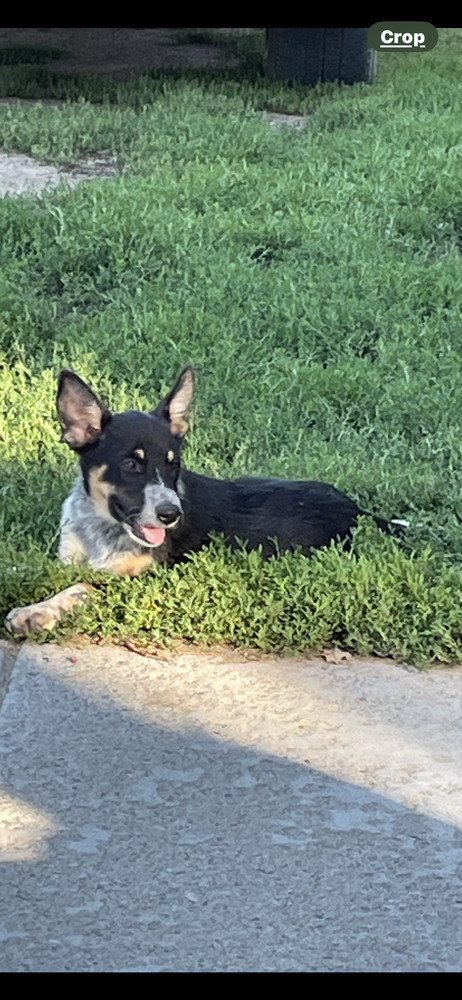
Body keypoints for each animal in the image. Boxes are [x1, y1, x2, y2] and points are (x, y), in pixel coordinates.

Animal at [5, 366, 406, 632]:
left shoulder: (149, 577)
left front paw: (35, 612)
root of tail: (359, 510)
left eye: (173, 464)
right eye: (131, 464)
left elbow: (84, 587)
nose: (170, 514)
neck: (103, 528)